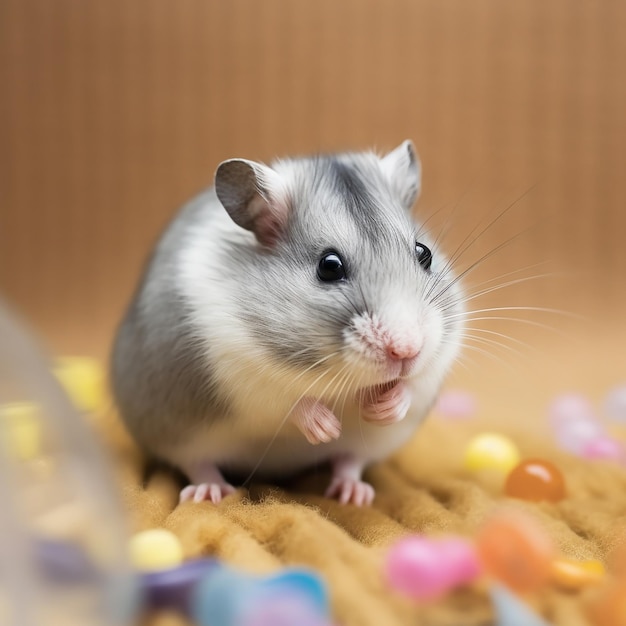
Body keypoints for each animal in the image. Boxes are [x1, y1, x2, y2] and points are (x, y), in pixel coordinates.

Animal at [111, 139, 464, 504]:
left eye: (424, 253)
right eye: (329, 266)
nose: (406, 351)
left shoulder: (439, 355)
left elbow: (413, 386)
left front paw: (383, 409)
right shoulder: (241, 373)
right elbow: (288, 402)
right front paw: (326, 428)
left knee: (350, 461)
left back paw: (354, 494)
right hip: (179, 435)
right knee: (198, 464)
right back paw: (210, 493)